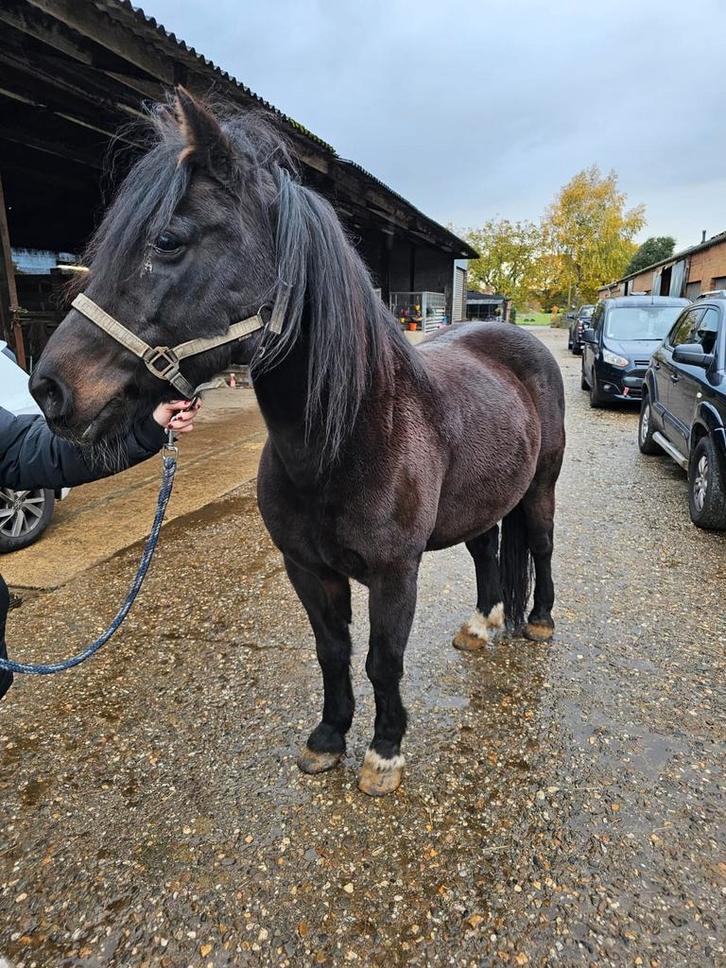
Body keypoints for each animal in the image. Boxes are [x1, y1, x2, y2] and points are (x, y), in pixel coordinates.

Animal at [30, 90, 565, 797]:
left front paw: (385, 753)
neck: (349, 442)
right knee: (487, 554)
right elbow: (332, 652)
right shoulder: (307, 569)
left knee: (540, 545)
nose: (49, 388)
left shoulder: (395, 575)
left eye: (167, 240)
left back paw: (540, 622)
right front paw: (329, 738)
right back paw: (481, 626)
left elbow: (382, 660)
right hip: (480, 503)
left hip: (540, 487)